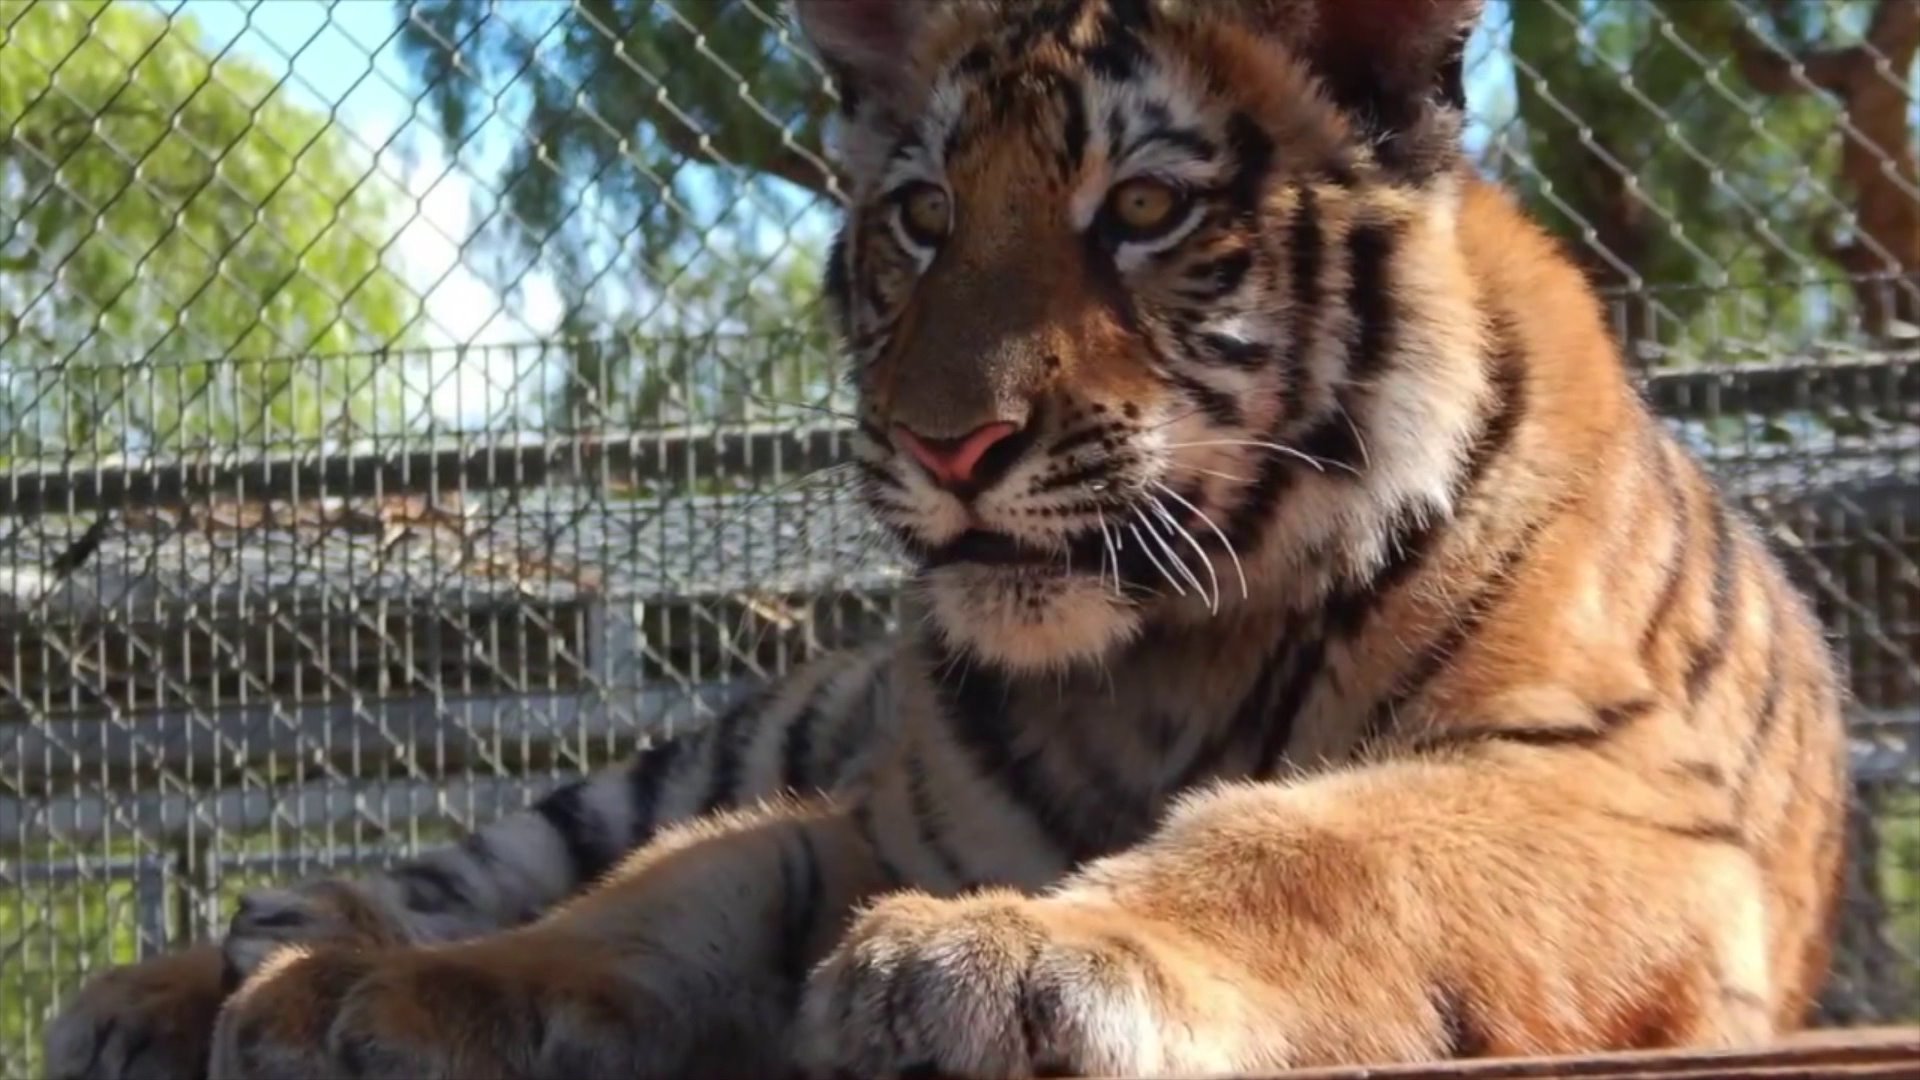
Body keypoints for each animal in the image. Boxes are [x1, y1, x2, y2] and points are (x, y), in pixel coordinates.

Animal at [43, 0, 1850, 1077]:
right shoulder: (862, 812)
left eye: (1144, 210)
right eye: (920, 218)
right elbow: (669, 895)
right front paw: (387, 1001)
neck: (1159, 659)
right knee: (460, 868)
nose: (945, 443)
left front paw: (1030, 955)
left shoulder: (1627, 799)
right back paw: (174, 992)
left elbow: (1327, 841)